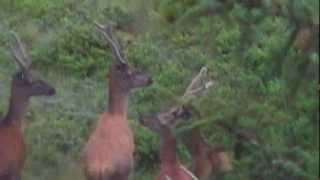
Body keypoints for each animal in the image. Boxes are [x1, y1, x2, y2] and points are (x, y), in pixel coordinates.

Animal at [82, 22, 152, 180]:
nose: (150, 78)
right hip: (124, 171)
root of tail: (101, 169)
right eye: (131, 71)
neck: (117, 114)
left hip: (86, 174)